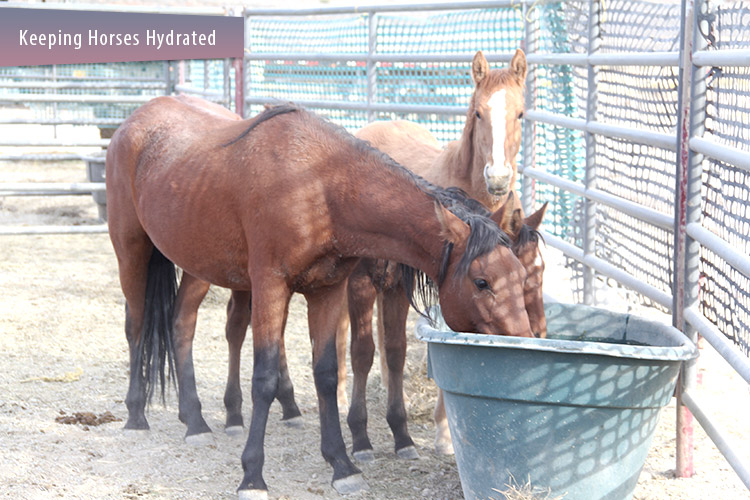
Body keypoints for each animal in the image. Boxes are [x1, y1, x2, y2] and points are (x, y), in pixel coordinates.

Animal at [105, 96, 533, 498]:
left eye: (519, 273)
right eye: (482, 282)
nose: (524, 342)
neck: (317, 184)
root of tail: (133, 122)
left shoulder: (327, 291)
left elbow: (327, 372)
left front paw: (342, 465)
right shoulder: (271, 285)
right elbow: (264, 376)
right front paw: (252, 476)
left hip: (196, 263)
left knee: (181, 325)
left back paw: (193, 421)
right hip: (132, 252)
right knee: (136, 325)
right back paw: (136, 415)